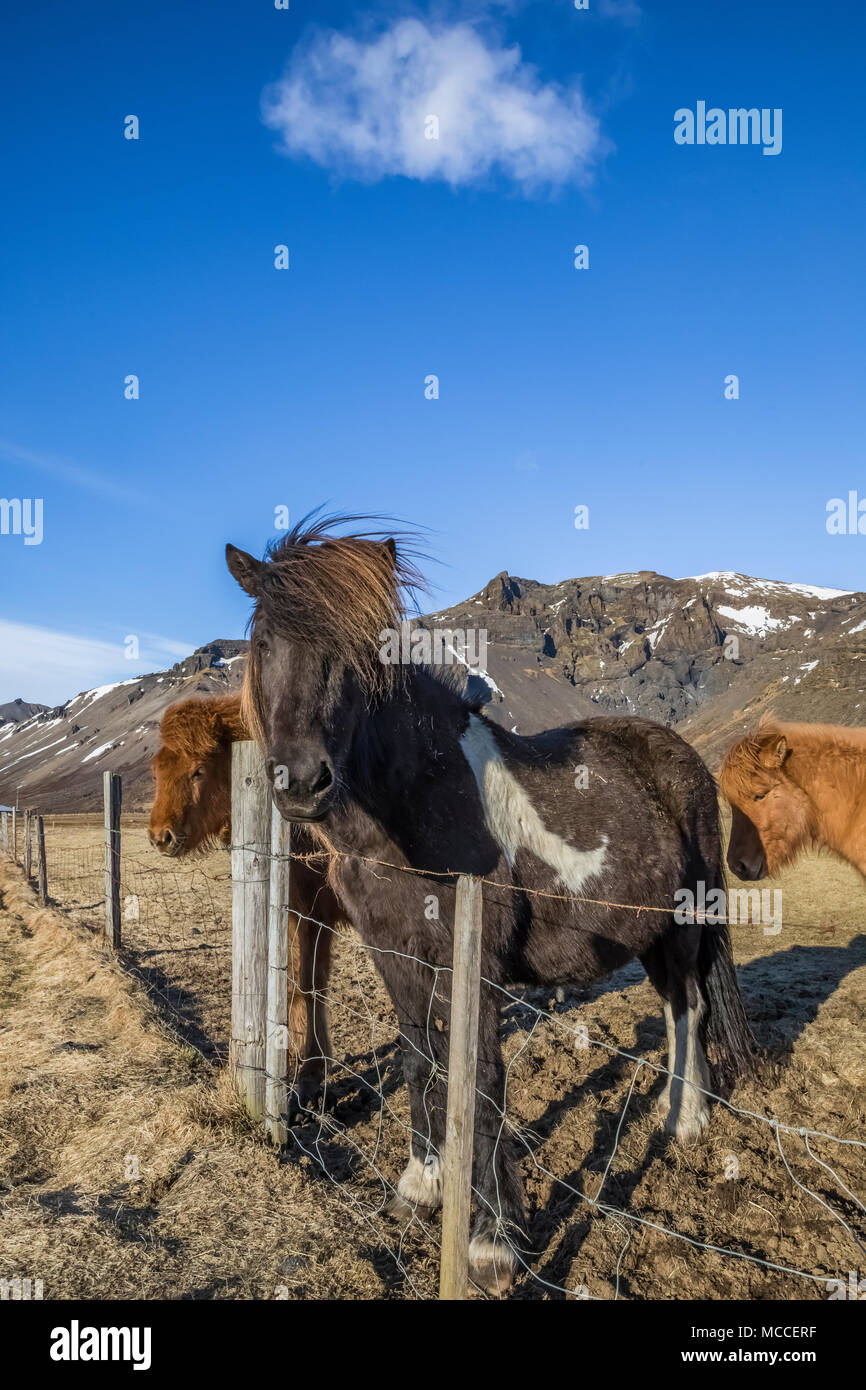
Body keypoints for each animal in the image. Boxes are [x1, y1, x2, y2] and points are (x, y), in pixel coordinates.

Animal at [148, 693, 339, 1109]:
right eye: (157, 772)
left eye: (198, 771)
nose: (159, 836)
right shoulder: (303, 915)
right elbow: (304, 984)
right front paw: (305, 1064)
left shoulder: (311, 915)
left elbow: (305, 985)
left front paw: (305, 1072)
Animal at [225, 513, 755, 1295]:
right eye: (263, 643)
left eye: (358, 651)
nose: (302, 783)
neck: (419, 804)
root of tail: (680, 755)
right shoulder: (393, 953)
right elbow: (419, 1059)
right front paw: (422, 1184)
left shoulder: (475, 963)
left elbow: (480, 1081)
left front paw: (492, 1241)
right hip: (650, 935)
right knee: (672, 1004)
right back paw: (671, 1109)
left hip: (686, 925)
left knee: (690, 1006)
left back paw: (686, 1121)